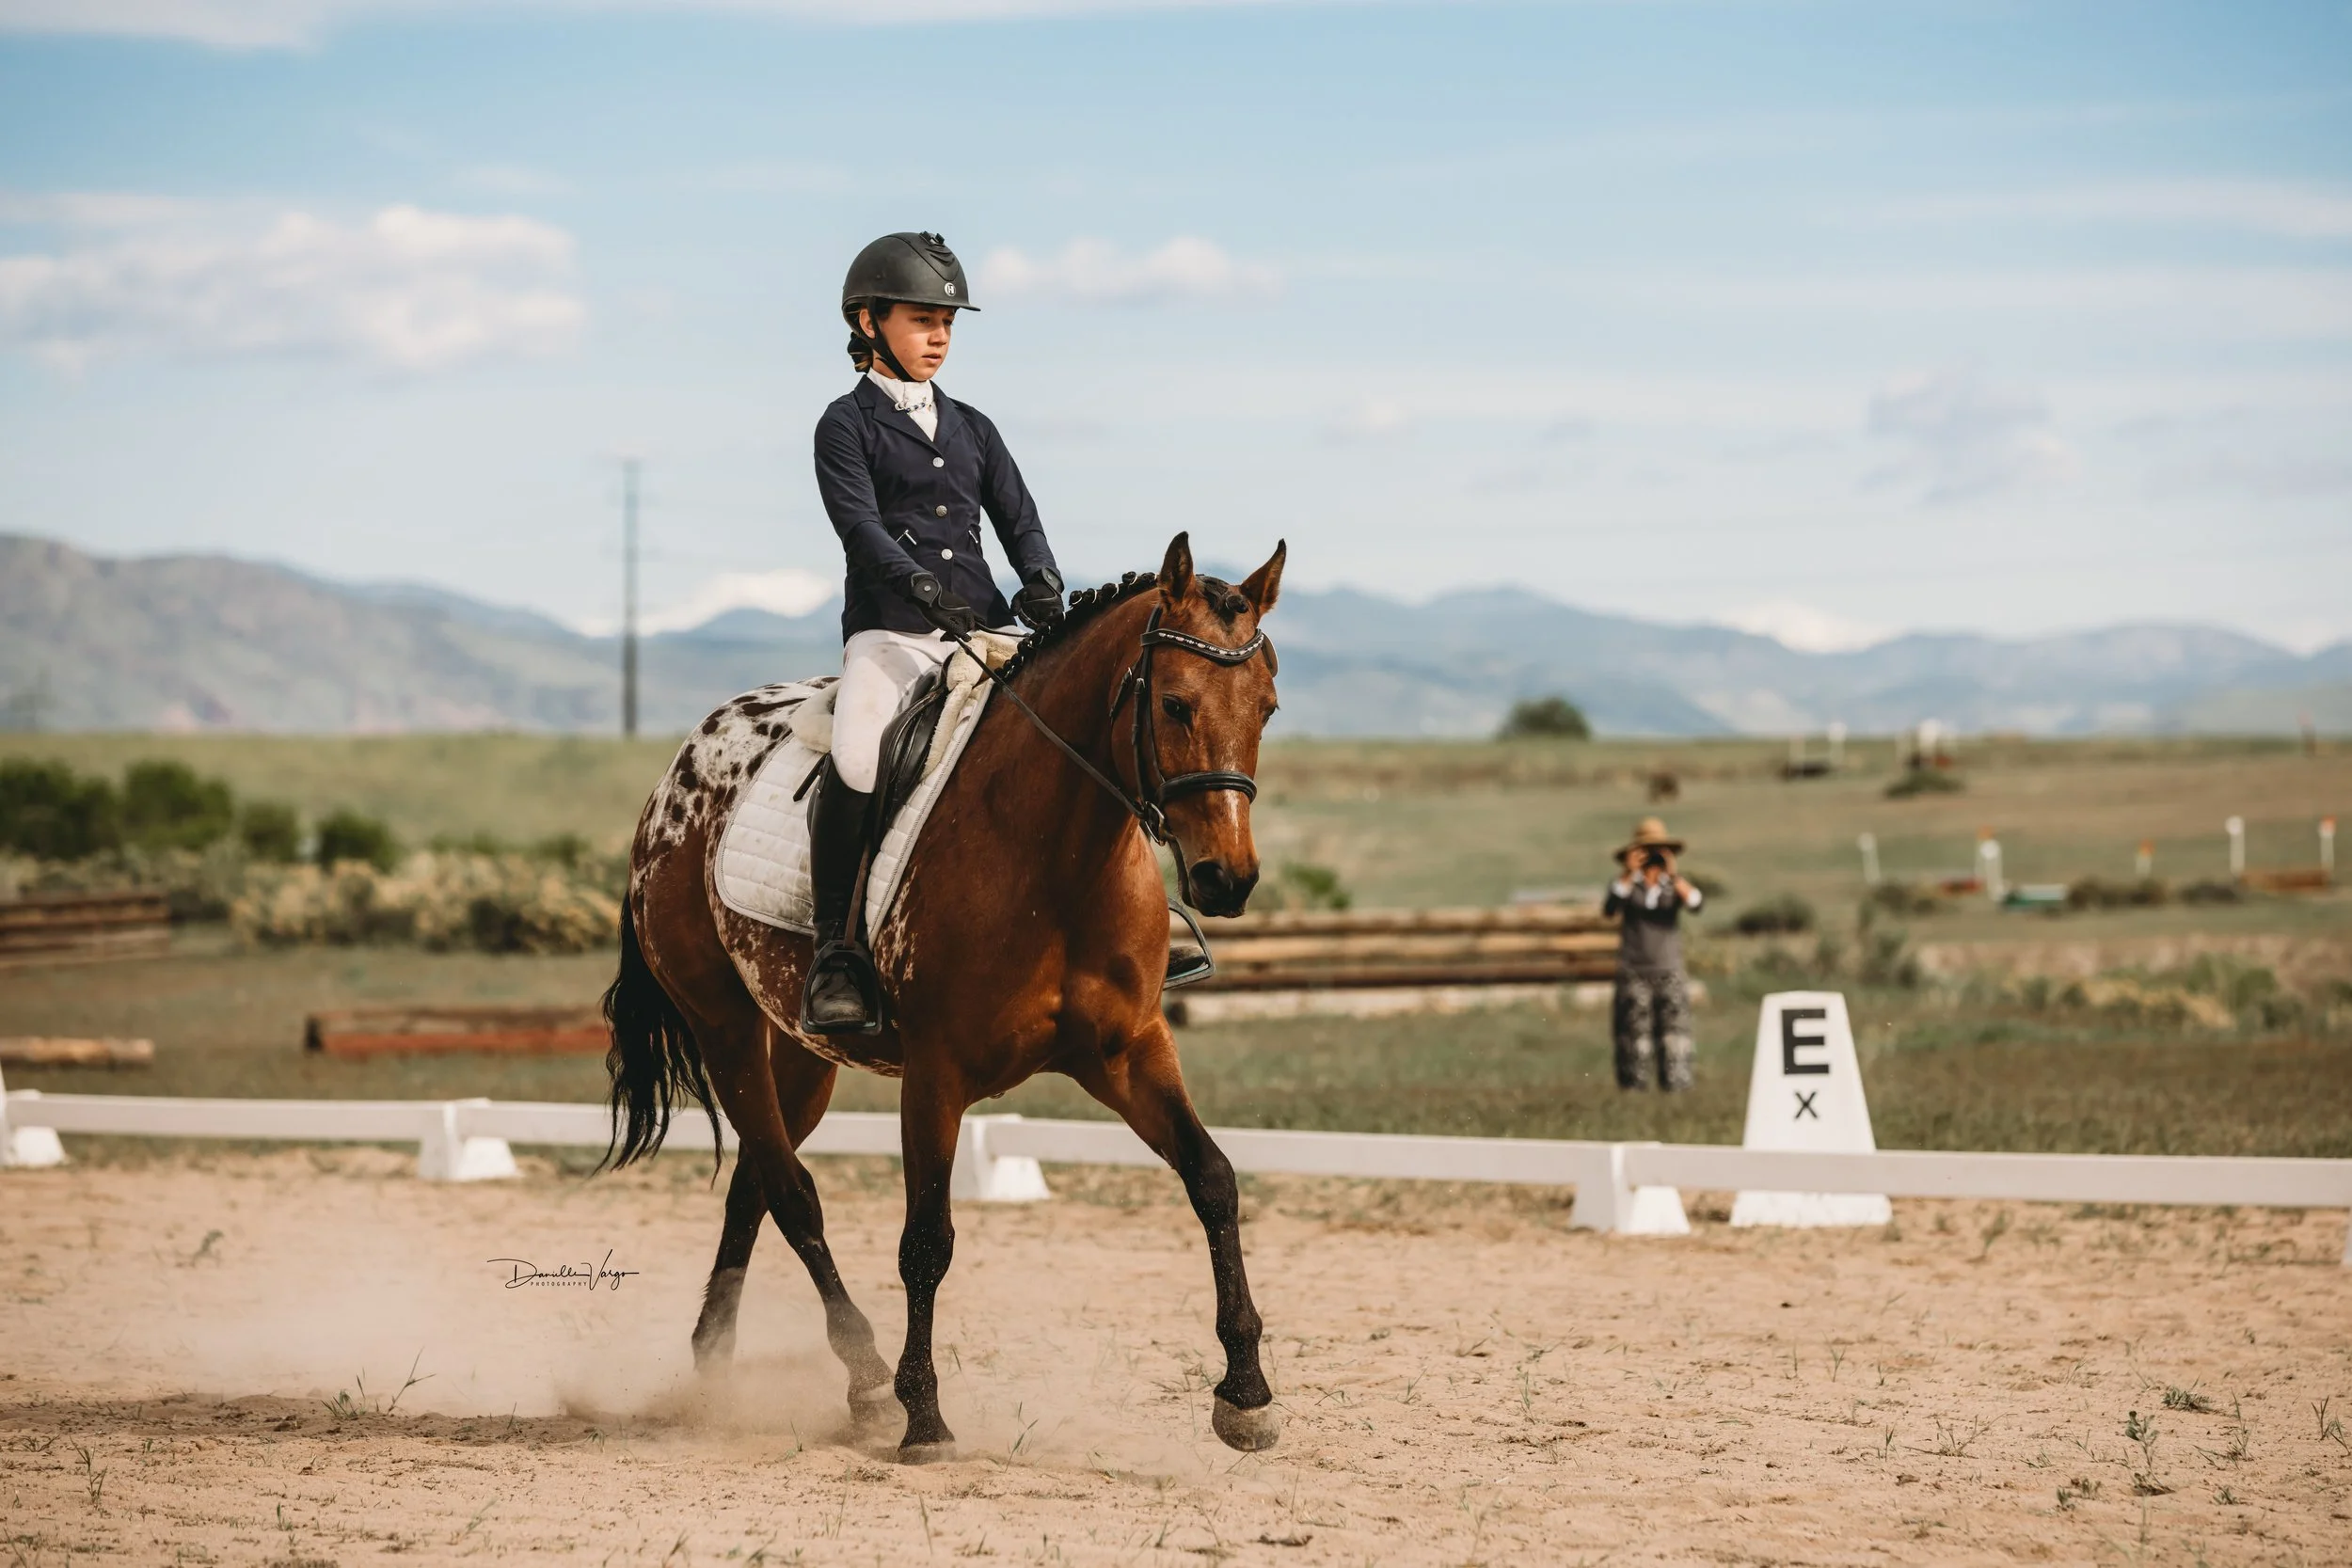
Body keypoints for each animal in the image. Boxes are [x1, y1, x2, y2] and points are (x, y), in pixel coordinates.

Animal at [600, 532, 1287, 1463]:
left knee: (757, 1180)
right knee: (791, 1191)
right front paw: (924, 1414)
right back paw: (864, 1377)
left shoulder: (1129, 1050)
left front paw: (1246, 1394)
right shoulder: (937, 1071)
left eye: (1267, 707)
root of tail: (677, 773)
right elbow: (927, 1238)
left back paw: (720, 1361)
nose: (1227, 879)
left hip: (803, 1052)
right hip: (724, 1027)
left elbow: (1212, 1178)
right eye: (1176, 704)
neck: (1058, 857)